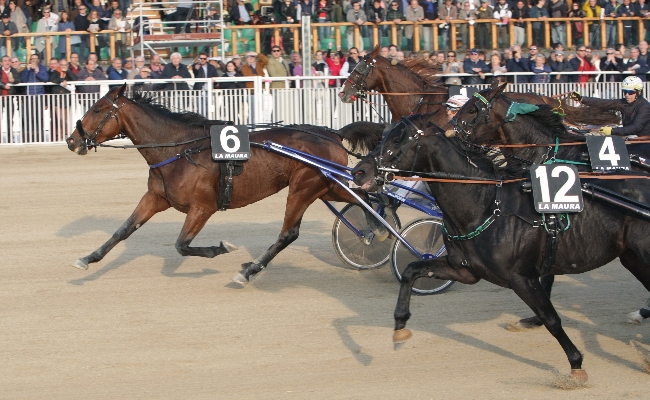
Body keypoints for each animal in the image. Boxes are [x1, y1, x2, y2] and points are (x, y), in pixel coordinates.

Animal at [64, 85, 380, 282]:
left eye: (97, 109)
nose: (71, 140)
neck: (179, 149)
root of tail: (333, 134)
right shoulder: (155, 198)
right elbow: (123, 230)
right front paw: (88, 258)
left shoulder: (203, 207)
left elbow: (181, 245)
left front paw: (221, 248)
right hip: (327, 187)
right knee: (364, 199)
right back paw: (372, 230)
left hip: (303, 188)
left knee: (289, 234)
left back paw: (249, 271)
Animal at [352, 113, 648, 382]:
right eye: (383, 136)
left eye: (398, 138)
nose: (359, 171)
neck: (484, 205)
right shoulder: (464, 270)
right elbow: (412, 269)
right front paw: (400, 324)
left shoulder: (521, 278)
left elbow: (551, 318)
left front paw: (576, 365)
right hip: (632, 258)